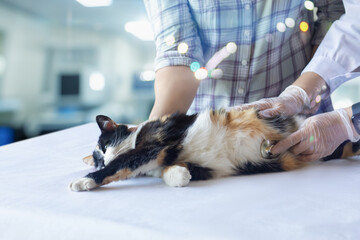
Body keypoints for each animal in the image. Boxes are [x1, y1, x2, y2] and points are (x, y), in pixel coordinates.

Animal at [68, 109, 360, 191]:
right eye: (97, 158)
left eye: (104, 145)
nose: (102, 158)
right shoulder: (211, 167)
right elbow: (171, 170)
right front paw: (179, 175)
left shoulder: (156, 143)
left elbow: (122, 163)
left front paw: (83, 181)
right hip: (330, 149)